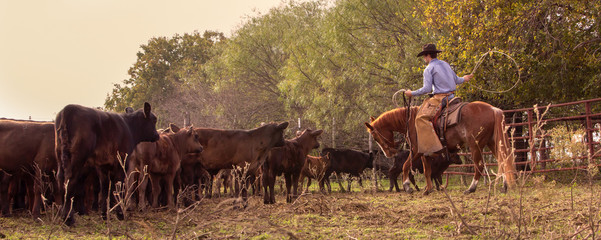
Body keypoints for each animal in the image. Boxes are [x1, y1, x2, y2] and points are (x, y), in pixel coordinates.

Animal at [366, 101, 516, 195]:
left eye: (375, 137)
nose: (389, 154)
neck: (412, 121)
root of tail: (493, 109)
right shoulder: (425, 154)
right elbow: (427, 171)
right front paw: (428, 189)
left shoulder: (416, 151)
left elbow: (406, 166)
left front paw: (407, 187)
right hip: (493, 143)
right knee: (503, 160)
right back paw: (504, 187)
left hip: (476, 145)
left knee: (479, 166)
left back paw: (471, 189)